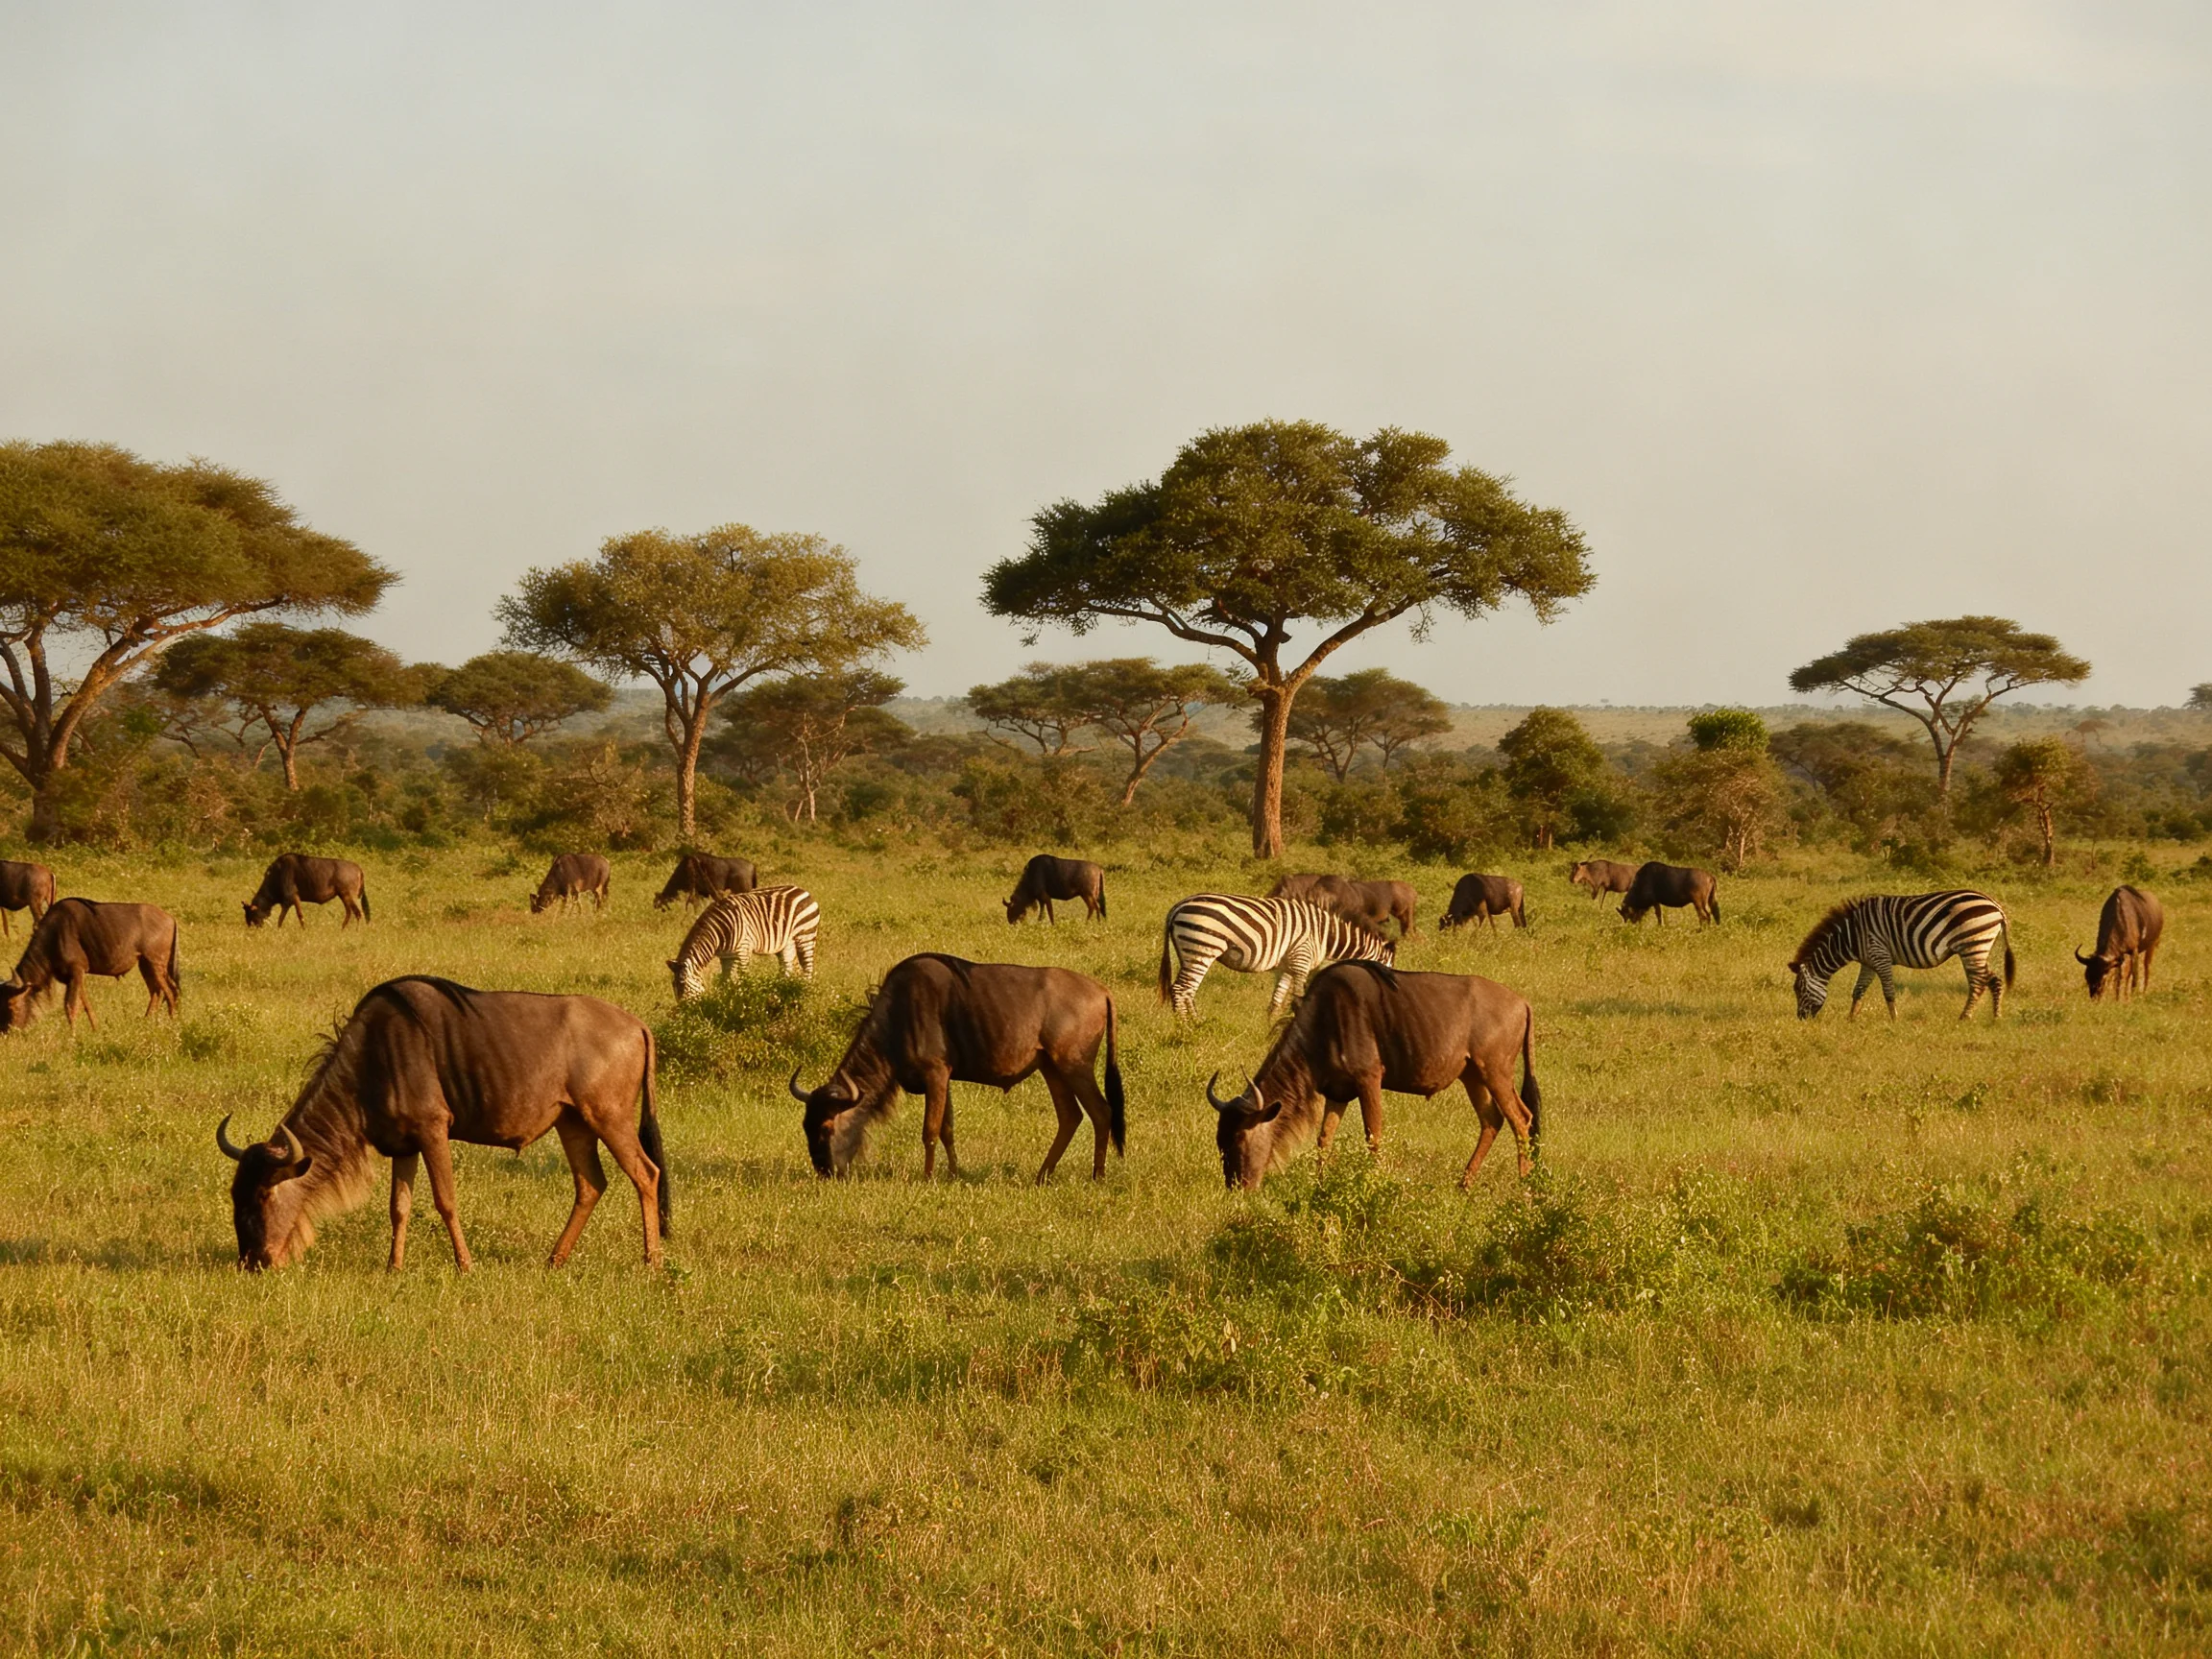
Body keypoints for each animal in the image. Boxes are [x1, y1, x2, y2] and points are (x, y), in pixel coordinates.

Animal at [667, 885, 820, 1000]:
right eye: (673, 985)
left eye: (683, 985)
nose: (684, 1012)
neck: (719, 932)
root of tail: (802, 890)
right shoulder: (726, 956)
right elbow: (726, 980)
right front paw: (725, 1002)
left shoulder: (743, 950)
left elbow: (743, 978)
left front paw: (744, 1000)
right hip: (786, 944)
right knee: (788, 967)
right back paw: (785, 992)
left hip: (806, 936)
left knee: (808, 968)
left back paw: (804, 994)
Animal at [1157, 894, 1396, 1018]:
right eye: (1386, 971)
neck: (1326, 935)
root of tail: (1177, 907)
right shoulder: (1302, 958)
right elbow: (1299, 995)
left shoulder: (1288, 965)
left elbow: (1278, 997)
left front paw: (1269, 1023)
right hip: (1202, 947)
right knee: (1181, 989)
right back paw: (1185, 1027)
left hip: (1187, 952)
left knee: (1188, 990)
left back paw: (1197, 1022)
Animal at [1788, 890, 2015, 1021]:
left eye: (1799, 990)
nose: (1801, 1019)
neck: (1850, 936)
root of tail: (1995, 905)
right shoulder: (1868, 961)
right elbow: (1858, 990)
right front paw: (1851, 1019)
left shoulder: (1880, 955)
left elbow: (1888, 991)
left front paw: (1894, 1020)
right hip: (1978, 947)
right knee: (1993, 979)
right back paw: (1996, 1017)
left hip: (1972, 944)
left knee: (1978, 982)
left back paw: (1964, 1017)